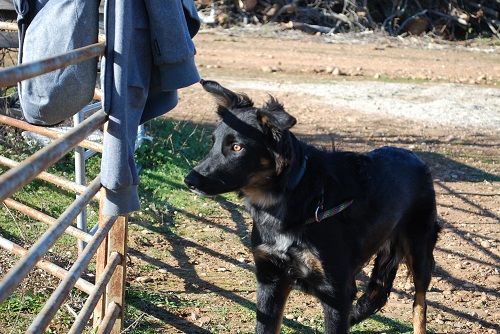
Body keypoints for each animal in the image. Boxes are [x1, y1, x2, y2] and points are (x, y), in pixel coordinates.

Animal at [186, 79, 440, 332]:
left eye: (237, 147)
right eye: (213, 143)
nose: (190, 180)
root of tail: (414, 157)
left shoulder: (336, 293)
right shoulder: (270, 279)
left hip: (419, 251)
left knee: (420, 304)